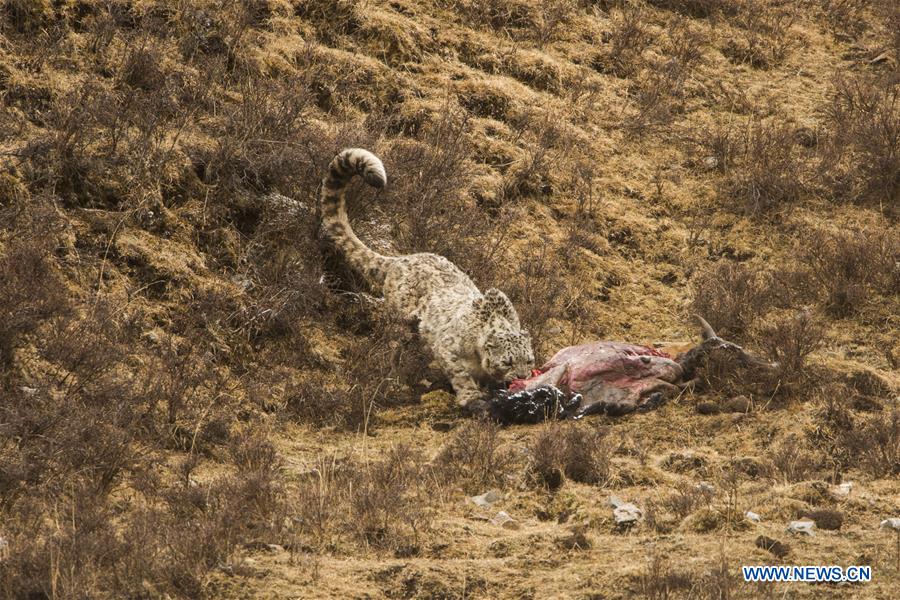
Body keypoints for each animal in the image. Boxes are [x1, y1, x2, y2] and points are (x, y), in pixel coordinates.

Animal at [318, 148, 536, 410]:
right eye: (508, 361)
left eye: (529, 360)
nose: (522, 377)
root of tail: (401, 259)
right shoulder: (448, 349)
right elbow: (460, 375)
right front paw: (472, 398)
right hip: (399, 320)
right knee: (393, 346)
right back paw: (396, 376)